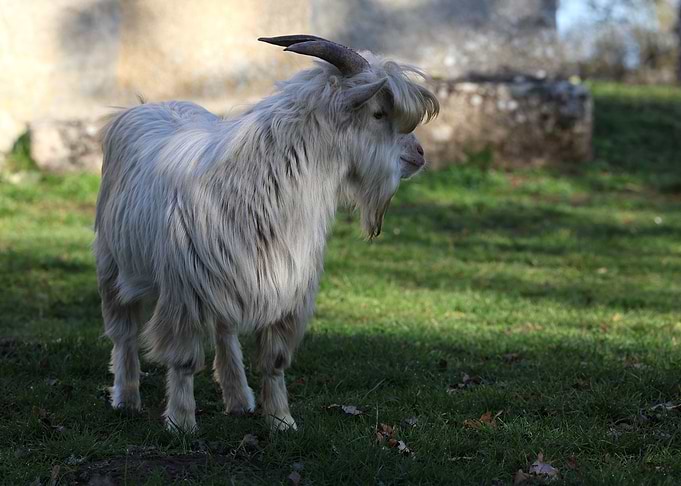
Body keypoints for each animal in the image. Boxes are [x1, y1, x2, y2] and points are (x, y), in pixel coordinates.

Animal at [94, 35, 438, 432]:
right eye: (379, 113)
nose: (419, 154)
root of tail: (143, 106)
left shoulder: (285, 287)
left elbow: (274, 361)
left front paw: (280, 420)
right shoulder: (184, 293)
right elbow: (182, 361)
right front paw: (181, 422)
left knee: (225, 331)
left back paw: (239, 398)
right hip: (110, 262)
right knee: (123, 332)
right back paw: (126, 397)